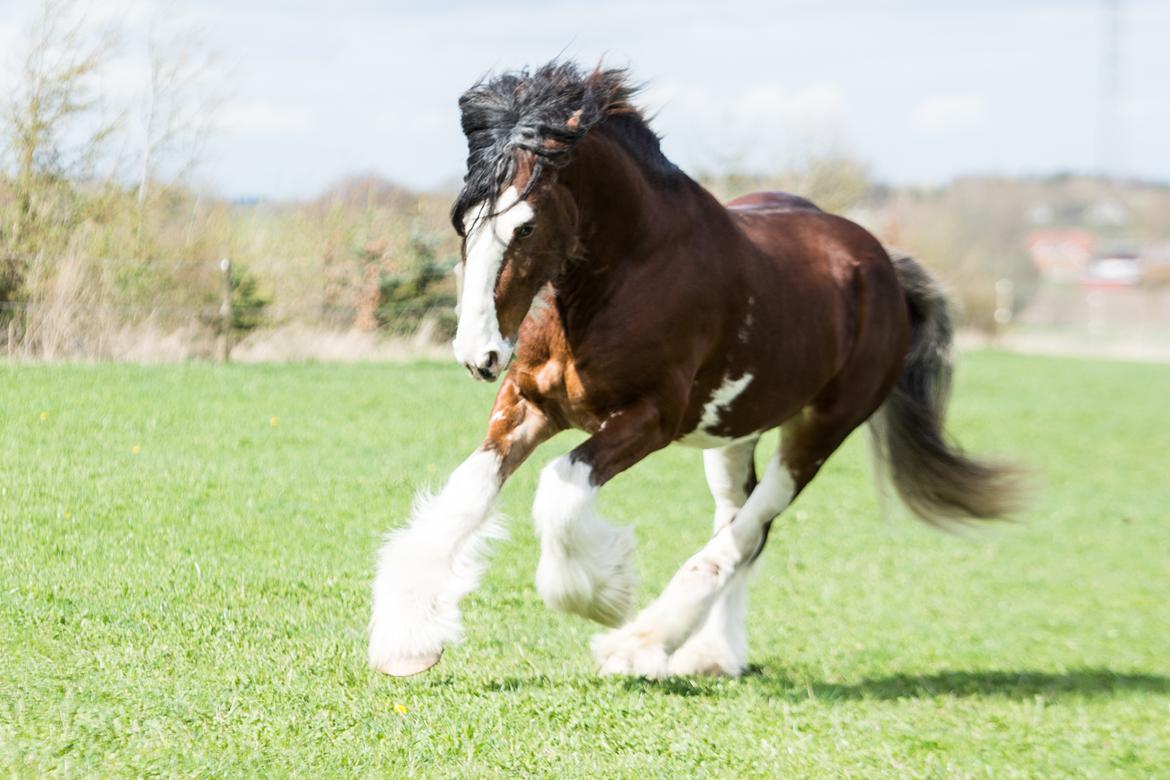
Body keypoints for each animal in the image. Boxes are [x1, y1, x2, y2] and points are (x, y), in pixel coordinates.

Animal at [367, 61, 1024, 678]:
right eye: (463, 219)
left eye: (524, 224)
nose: (477, 354)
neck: (626, 275)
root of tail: (882, 265)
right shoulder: (528, 402)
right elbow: (467, 495)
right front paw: (408, 642)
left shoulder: (652, 418)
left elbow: (561, 488)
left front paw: (601, 594)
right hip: (732, 434)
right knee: (741, 523)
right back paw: (711, 654)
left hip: (820, 430)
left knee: (744, 533)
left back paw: (642, 645)